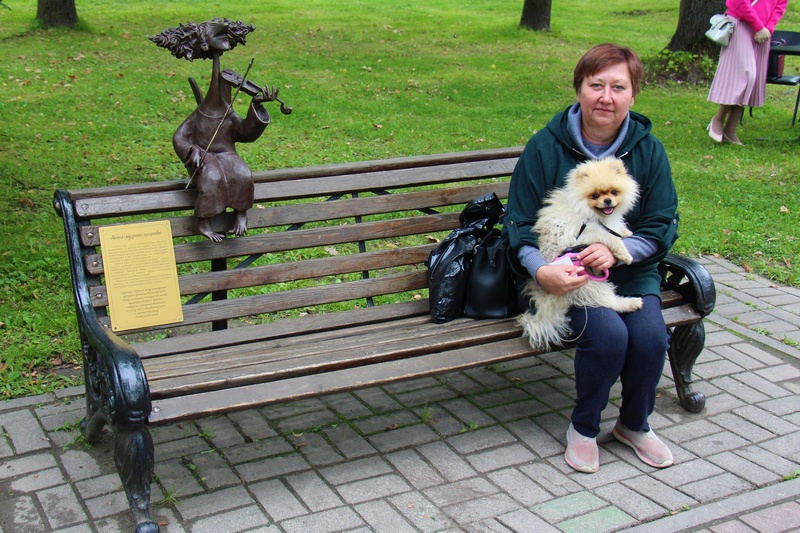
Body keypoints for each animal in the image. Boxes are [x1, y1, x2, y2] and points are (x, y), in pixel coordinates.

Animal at [517, 157, 643, 350]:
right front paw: (625, 254)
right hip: (589, 284)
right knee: (610, 301)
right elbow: (610, 238)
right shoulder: (586, 233)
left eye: (614, 192)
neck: (589, 212)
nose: (608, 200)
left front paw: (626, 233)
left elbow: (617, 229)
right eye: (595, 196)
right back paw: (631, 303)